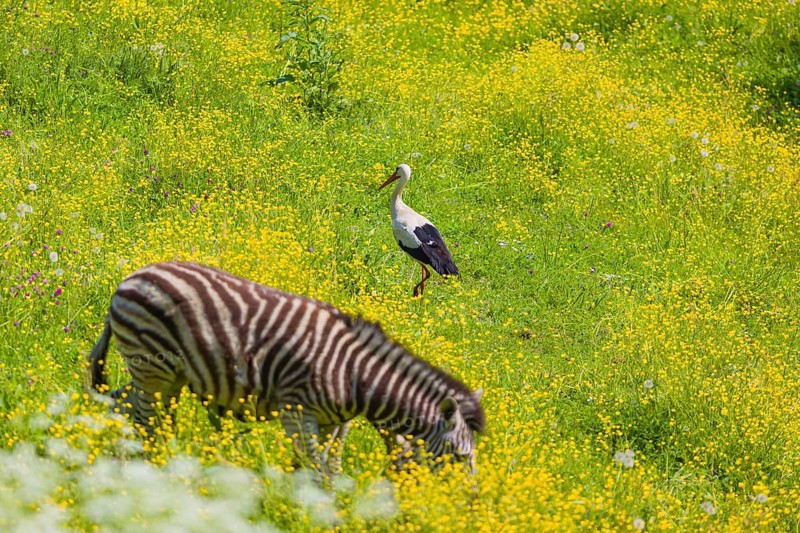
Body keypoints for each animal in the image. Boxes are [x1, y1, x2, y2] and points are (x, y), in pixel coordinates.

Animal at [88, 262, 485, 473]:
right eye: (460, 456)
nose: (471, 502)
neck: (355, 376)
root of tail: (128, 280)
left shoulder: (334, 424)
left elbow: (325, 468)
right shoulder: (298, 411)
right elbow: (315, 468)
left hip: (165, 377)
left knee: (125, 405)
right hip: (153, 367)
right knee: (144, 420)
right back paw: (146, 467)